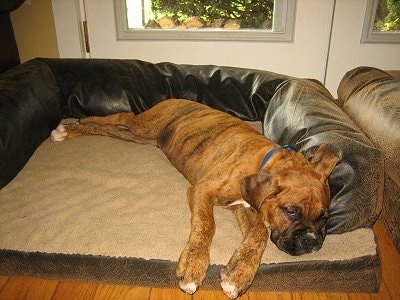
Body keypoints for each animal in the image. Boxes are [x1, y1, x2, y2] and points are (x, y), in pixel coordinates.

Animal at [51, 98, 340, 298]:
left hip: (141, 136)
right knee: (118, 118)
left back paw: (79, 123)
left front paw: (239, 274)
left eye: (324, 218)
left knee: (116, 125)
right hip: (145, 126)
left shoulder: (245, 208)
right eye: (291, 211)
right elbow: (206, 225)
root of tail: (175, 98)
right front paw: (193, 265)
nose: (312, 242)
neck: (263, 162)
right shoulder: (203, 190)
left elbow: (258, 235)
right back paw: (70, 127)